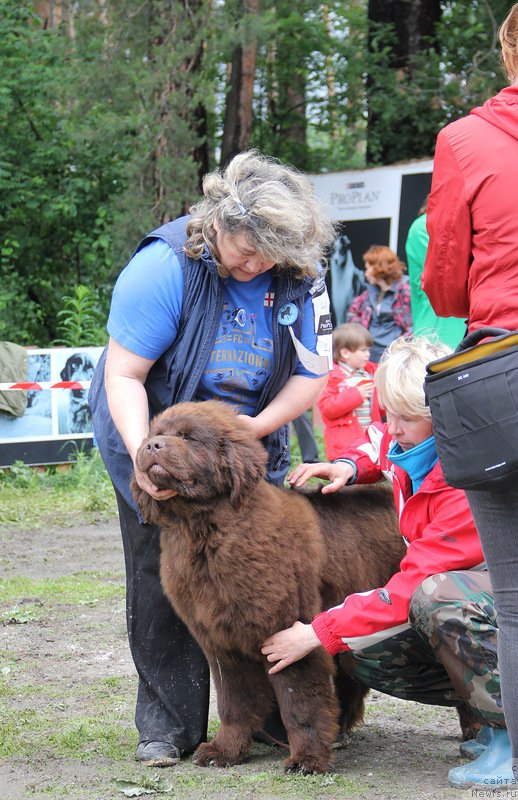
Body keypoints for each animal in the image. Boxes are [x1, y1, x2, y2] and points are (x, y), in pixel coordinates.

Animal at [132, 400, 404, 776]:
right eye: (156, 434)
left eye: (188, 437)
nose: (151, 446)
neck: (206, 534)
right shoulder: (223, 643)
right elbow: (233, 703)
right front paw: (224, 751)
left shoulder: (290, 636)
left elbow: (299, 701)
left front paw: (307, 759)